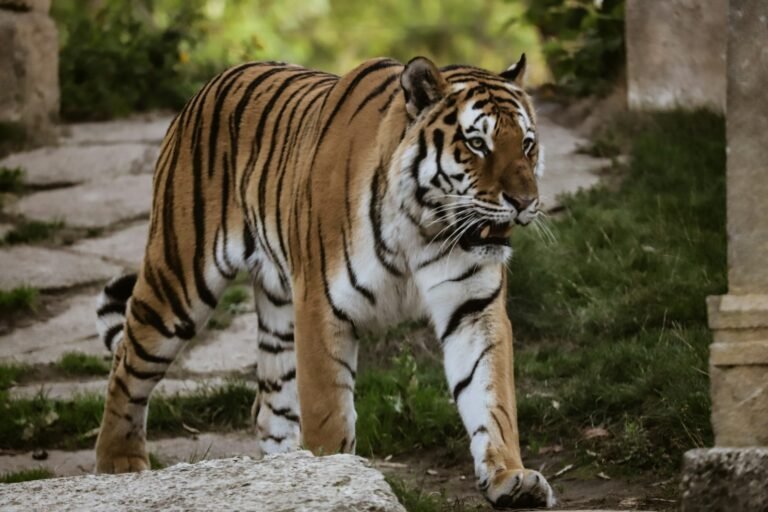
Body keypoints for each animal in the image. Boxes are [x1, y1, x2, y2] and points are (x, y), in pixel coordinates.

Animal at [93, 54, 555, 508]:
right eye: (477, 144)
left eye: (527, 144)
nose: (525, 202)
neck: (424, 226)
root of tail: (210, 84)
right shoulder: (321, 306)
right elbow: (328, 414)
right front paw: (337, 476)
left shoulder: (473, 307)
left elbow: (491, 397)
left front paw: (511, 478)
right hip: (178, 281)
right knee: (127, 366)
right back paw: (120, 465)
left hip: (278, 311)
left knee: (269, 405)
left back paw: (284, 475)